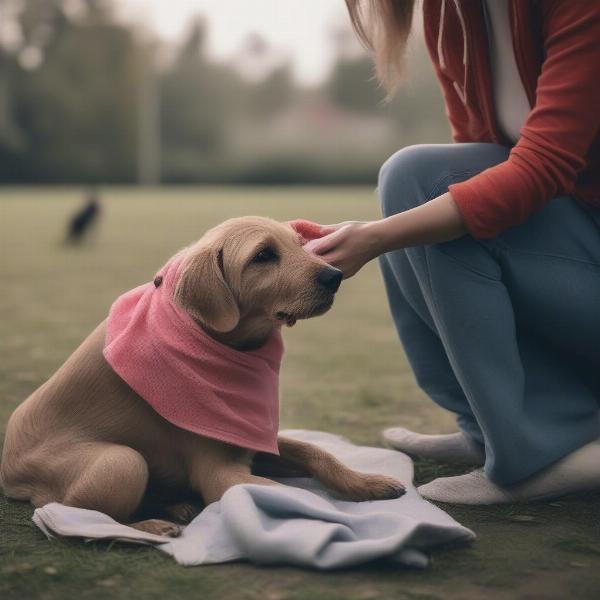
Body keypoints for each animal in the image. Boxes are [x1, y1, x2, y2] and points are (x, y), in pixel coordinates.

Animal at [0, 216, 406, 536]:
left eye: (299, 244)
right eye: (263, 256)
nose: (334, 276)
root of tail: (9, 474)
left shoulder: (253, 439)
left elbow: (316, 451)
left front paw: (365, 483)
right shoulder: (221, 475)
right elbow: (294, 494)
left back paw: (174, 504)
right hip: (121, 462)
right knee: (76, 511)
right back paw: (151, 523)